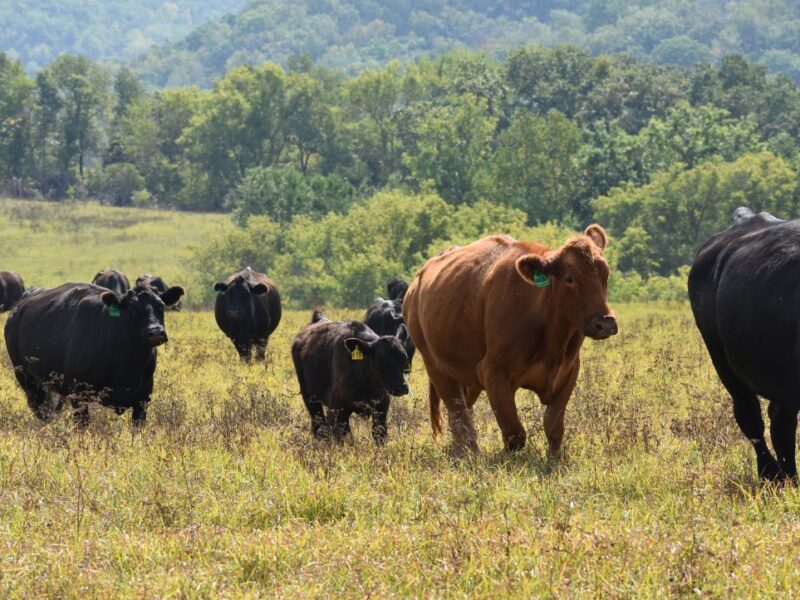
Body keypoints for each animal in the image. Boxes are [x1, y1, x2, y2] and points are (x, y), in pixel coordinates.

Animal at [3, 282, 184, 426]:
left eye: (161, 306)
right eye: (133, 309)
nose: (156, 332)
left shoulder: (143, 398)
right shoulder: (79, 395)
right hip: (27, 380)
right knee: (41, 411)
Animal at [290, 312, 410, 442]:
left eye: (404, 360)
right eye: (381, 362)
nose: (402, 387)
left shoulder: (381, 408)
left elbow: (379, 434)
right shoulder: (337, 411)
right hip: (309, 397)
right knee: (319, 426)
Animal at [406, 225, 620, 454]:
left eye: (606, 274)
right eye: (569, 278)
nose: (606, 323)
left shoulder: (569, 371)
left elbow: (554, 428)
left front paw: (553, 459)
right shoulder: (493, 372)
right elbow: (514, 433)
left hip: (465, 376)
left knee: (462, 414)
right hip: (436, 367)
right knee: (459, 417)